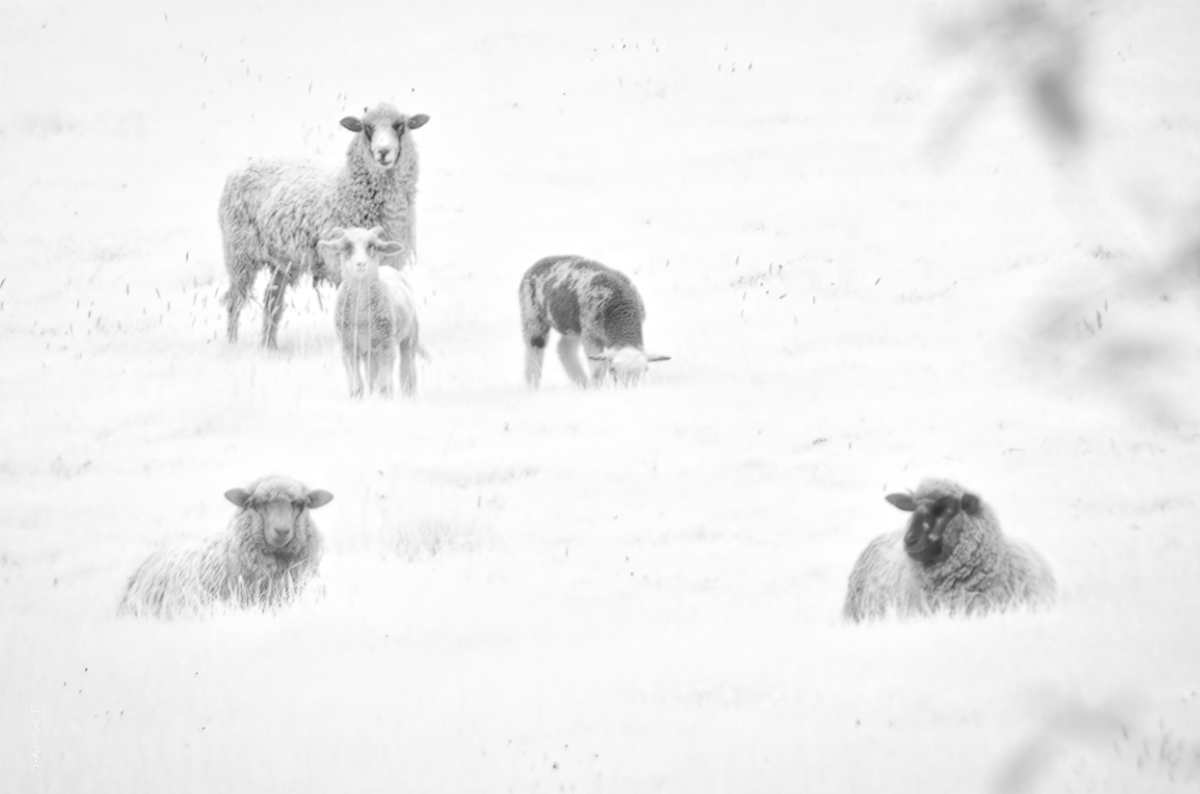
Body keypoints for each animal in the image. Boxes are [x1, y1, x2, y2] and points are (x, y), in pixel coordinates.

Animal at [219, 102, 430, 349]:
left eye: (400, 126)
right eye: (367, 127)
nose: (383, 152)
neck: (348, 190)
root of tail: (242, 167)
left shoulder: (389, 263)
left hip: (281, 260)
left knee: (272, 300)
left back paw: (269, 347)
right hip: (239, 253)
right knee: (234, 301)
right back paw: (232, 343)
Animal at [319, 226, 421, 398]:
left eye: (372, 246)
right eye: (347, 247)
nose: (361, 264)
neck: (361, 317)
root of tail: (387, 268)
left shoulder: (386, 346)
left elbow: (384, 387)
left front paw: (383, 399)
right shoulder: (347, 347)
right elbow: (357, 387)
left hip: (408, 338)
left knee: (407, 372)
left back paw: (409, 395)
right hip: (369, 351)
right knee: (372, 377)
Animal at [519, 255, 670, 388]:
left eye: (645, 371)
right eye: (613, 372)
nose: (628, 389)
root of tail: (539, 262)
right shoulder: (591, 335)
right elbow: (598, 368)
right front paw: (597, 388)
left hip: (573, 326)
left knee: (564, 349)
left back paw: (582, 383)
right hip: (532, 315)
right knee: (534, 350)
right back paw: (533, 385)